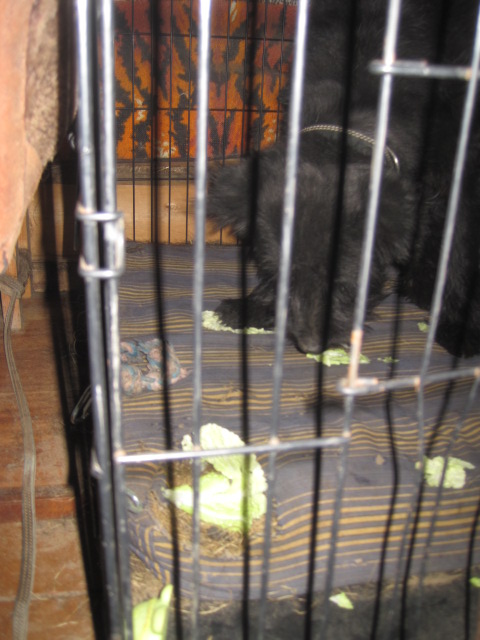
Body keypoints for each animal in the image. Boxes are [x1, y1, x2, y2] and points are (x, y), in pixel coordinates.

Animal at [207, 0, 480, 357]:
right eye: (282, 278)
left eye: (344, 284)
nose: (309, 345)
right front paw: (254, 306)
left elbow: (460, 242)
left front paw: (458, 326)